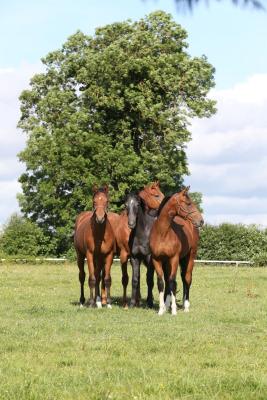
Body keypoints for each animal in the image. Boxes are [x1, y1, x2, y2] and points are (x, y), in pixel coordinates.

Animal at [150, 187, 204, 316]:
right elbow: (161, 283)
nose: (201, 221)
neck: (162, 233)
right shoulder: (157, 259)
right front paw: (161, 310)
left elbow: (173, 282)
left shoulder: (174, 258)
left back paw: (186, 306)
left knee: (187, 279)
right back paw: (167, 305)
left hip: (190, 257)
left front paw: (174, 310)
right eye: (188, 203)